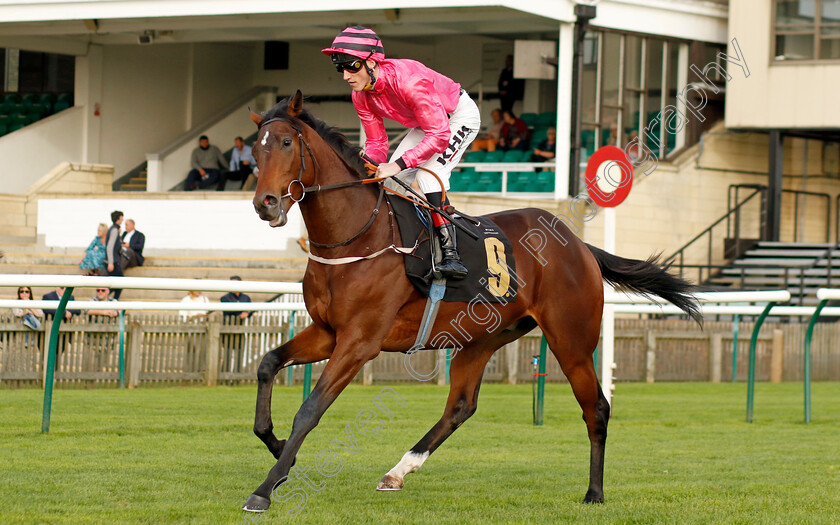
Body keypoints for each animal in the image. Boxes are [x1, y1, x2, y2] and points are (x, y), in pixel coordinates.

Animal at [243, 91, 704, 512]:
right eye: (255, 150)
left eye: (286, 143)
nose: (265, 203)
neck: (357, 236)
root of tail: (579, 244)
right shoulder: (327, 332)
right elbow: (267, 364)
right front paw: (280, 451)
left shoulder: (359, 342)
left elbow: (310, 410)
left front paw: (265, 489)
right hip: (481, 339)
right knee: (460, 407)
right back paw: (398, 471)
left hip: (571, 340)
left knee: (597, 409)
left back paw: (594, 493)